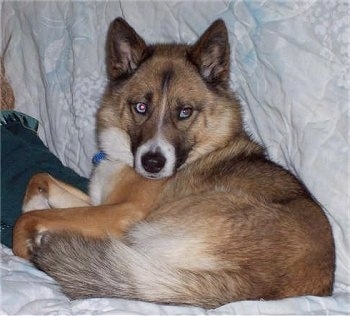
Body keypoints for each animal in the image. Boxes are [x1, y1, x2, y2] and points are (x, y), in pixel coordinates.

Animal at [11, 17, 336, 308]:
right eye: (141, 107)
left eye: (185, 112)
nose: (153, 163)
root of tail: (255, 287)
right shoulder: (97, 201)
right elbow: (39, 178)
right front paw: (36, 203)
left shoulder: (123, 212)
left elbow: (27, 219)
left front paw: (25, 242)